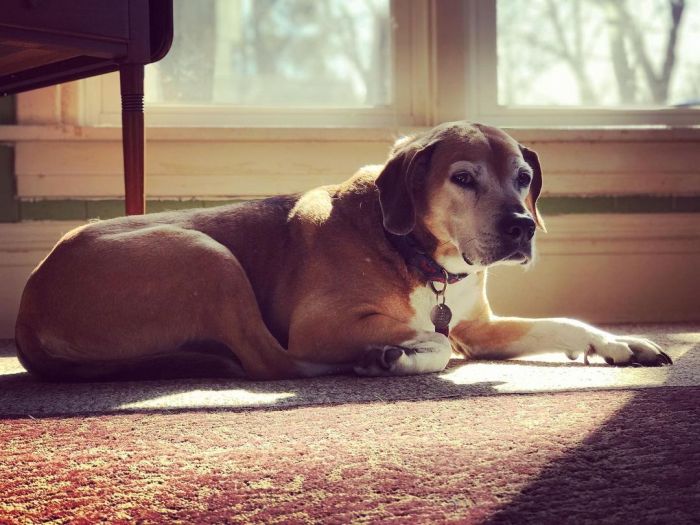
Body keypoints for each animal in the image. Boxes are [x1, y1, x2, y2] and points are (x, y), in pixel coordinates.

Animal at [15, 120, 672, 378]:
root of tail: (28, 304)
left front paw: (619, 343)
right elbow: (435, 339)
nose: (521, 228)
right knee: (272, 361)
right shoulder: (323, 324)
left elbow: (562, 322)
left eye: (524, 178)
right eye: (463, 178)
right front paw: (399, 354)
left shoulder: (478, 326)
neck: (418, 256)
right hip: (206, 255)